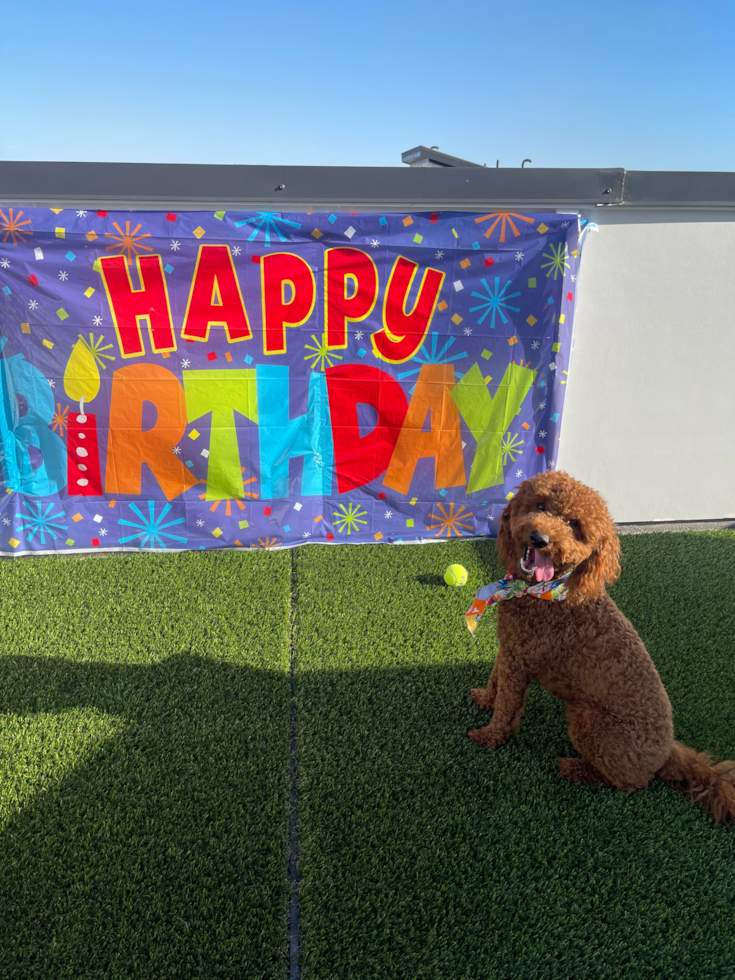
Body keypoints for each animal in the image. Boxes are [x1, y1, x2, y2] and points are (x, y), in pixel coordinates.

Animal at [468, 470, 735, 824]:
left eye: (574, 524)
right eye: (540, 505)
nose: (540, 538)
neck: (547, 591)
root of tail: (667, 752)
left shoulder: (519, 662)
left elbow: (507, 707)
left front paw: (489, 736)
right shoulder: (509, 649)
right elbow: (495, 681)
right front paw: (485, 700)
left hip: (588, 721)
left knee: (631, 784)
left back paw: (576, 768)